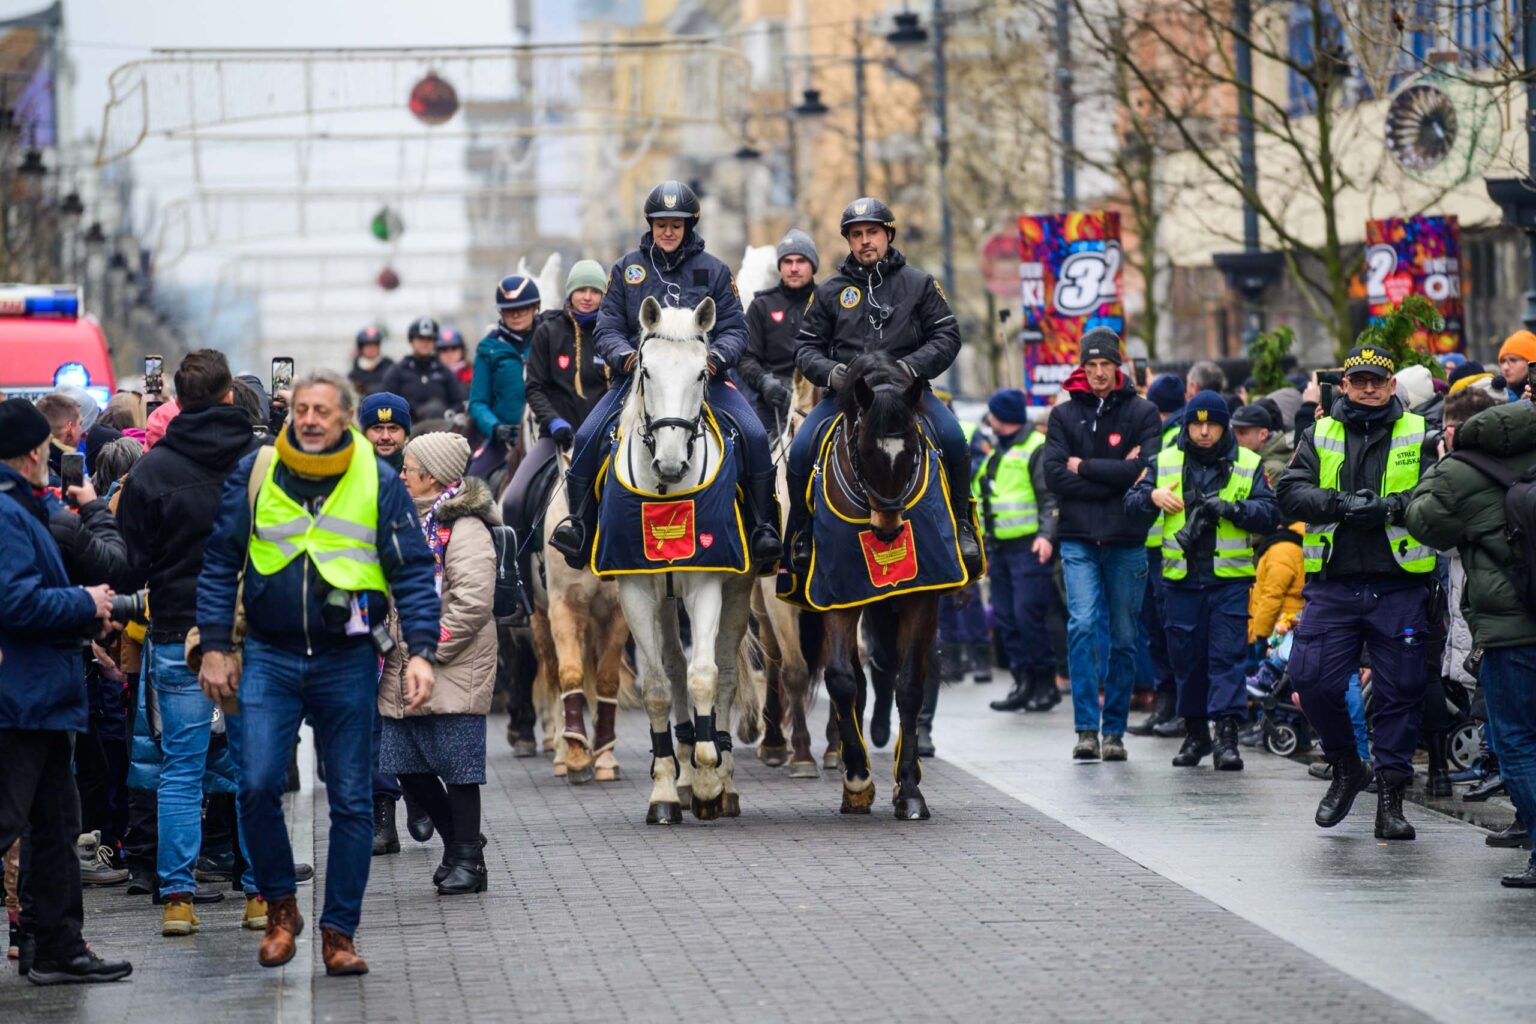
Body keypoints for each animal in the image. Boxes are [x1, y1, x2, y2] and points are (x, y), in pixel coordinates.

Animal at [608, 296, 758, 822]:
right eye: (646, 371)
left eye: (700, 373)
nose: (671, 463)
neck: (667, 495)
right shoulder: (634, 588)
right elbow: (657, 686)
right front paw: (666, 791)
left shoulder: (707, 584)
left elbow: (705, 676)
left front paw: (711, 778)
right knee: (672, 669)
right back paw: (684, 773)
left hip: (738, 590)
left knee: (726, 672)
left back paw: (723, 780)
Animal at [811, 353, 940, 822]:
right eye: (865, 450)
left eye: (913, 450)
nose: (888, 530)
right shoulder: (837, 594)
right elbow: (842, 680)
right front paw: (856, 780)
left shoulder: (921, 598)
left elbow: (910, 685)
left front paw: (910, 790)